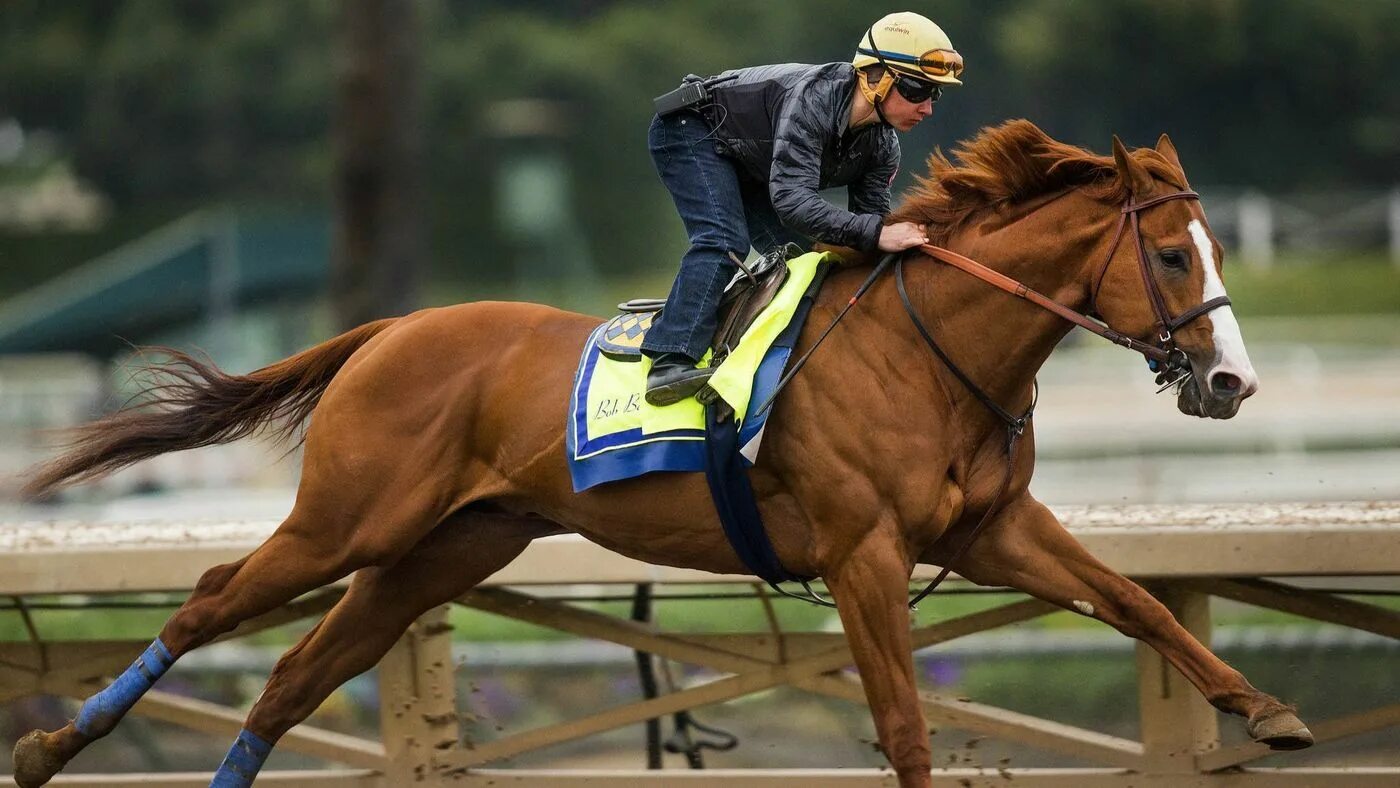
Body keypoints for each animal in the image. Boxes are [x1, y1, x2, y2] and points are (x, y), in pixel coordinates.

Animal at [13, 120, 1310, 783]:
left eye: (1209, 245)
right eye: (1173, 255)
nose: (1231, 381)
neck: (929, 348)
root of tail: (390, 327)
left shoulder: (990, 527)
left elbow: (1133, 601)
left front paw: (1266, 711)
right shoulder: (861, 549)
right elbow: (899, 720)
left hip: (441, 550)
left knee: (292, 673)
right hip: (348, 518)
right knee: (210, 598)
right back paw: (48, 744)